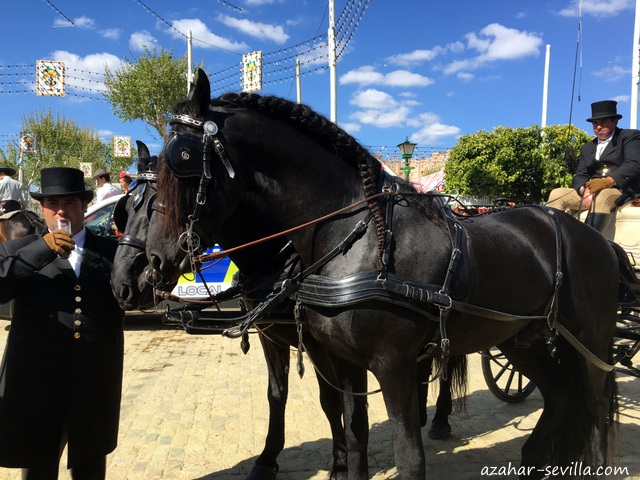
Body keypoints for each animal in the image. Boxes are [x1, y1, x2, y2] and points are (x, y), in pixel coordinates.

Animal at [144, 69, 620, 478]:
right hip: (520, 338)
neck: (358, 239)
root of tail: (592, 236)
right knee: (561, 395)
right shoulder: (346, 361)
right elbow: (354, 437)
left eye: (183, 160)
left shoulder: (394, 366)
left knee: (596, 401)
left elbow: (408, 457)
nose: (154, 260)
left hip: (591, 339)